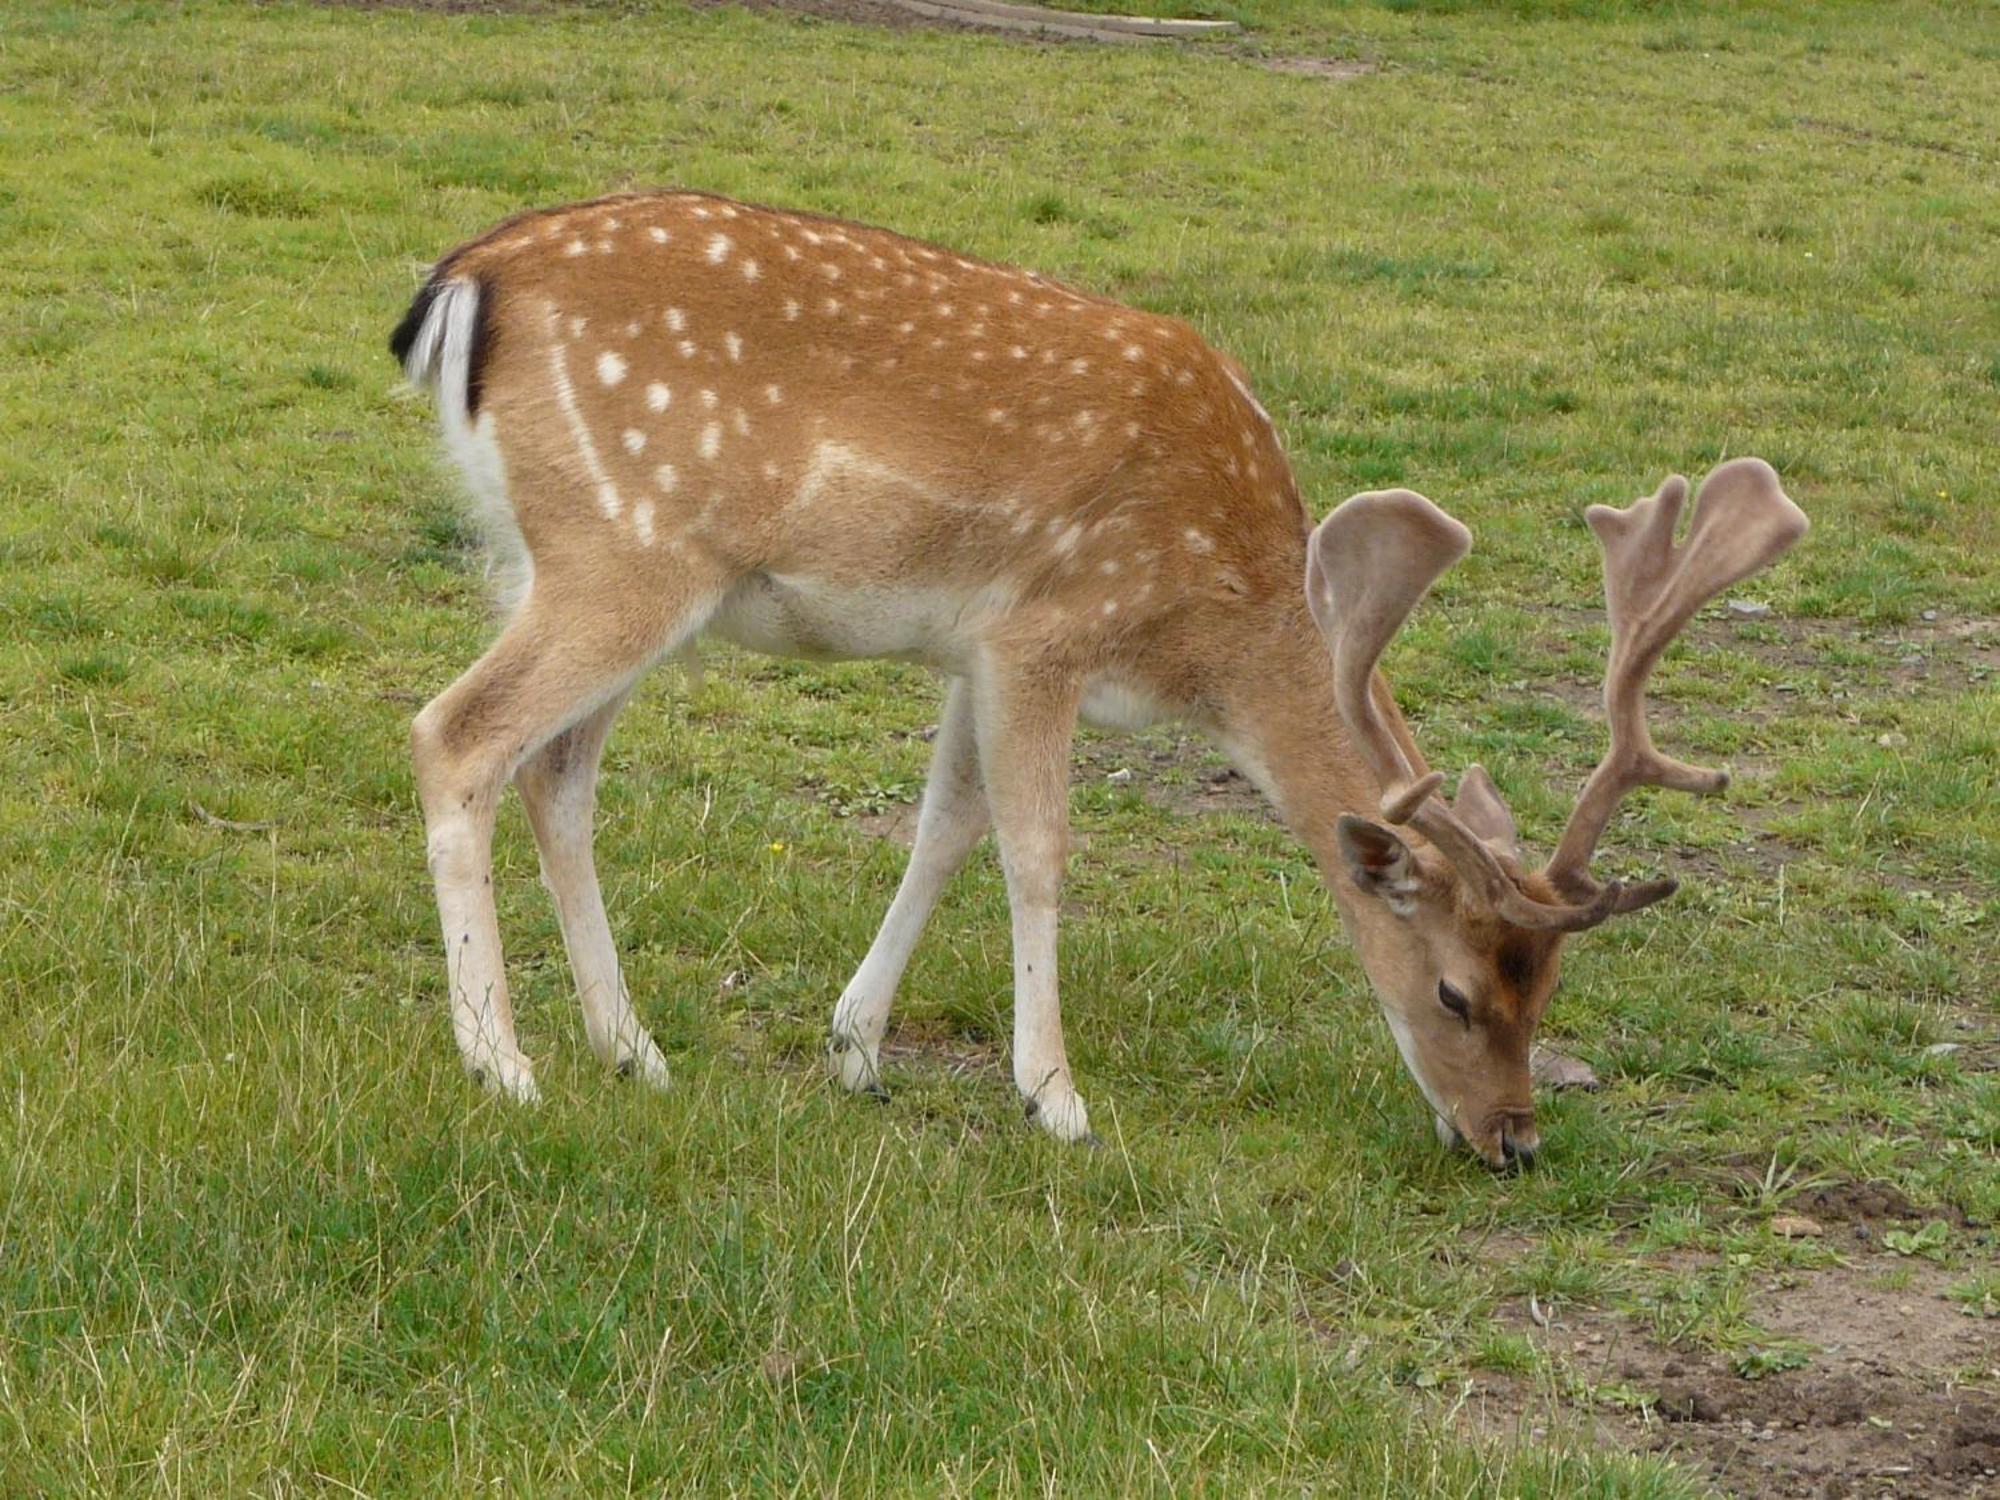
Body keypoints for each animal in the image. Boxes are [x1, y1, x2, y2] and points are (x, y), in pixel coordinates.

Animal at [394, 191, 1816, 1176]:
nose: (1511, 1141)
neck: (1210, 631)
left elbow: (945, 825)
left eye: (1549, 992)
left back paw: (628, 1048)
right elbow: (1036, 848)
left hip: (573, 565)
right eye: (1455, 993)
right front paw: (1056, 1097)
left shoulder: (967, 648)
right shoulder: (1046, 631)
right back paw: (501, 1061)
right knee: (455, 734)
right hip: (621, 550)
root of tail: (464, 281)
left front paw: (854, 1048)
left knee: (556, 774)